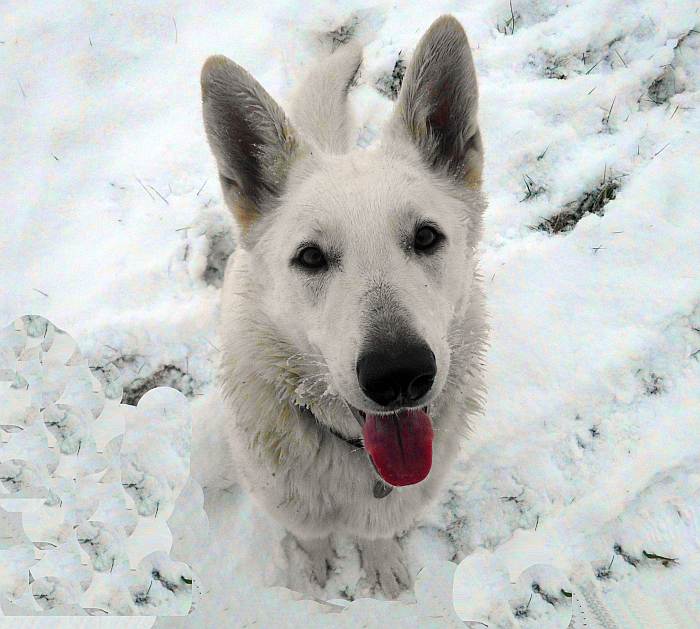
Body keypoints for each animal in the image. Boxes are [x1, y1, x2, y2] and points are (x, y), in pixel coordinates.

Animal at [194, 12, 484, 596]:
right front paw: (313, 571)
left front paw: (382, 564)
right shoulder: (291, 506)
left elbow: (377, 535)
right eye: (310, 257)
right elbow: (311, 537)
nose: (399, 376)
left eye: (426, 237)